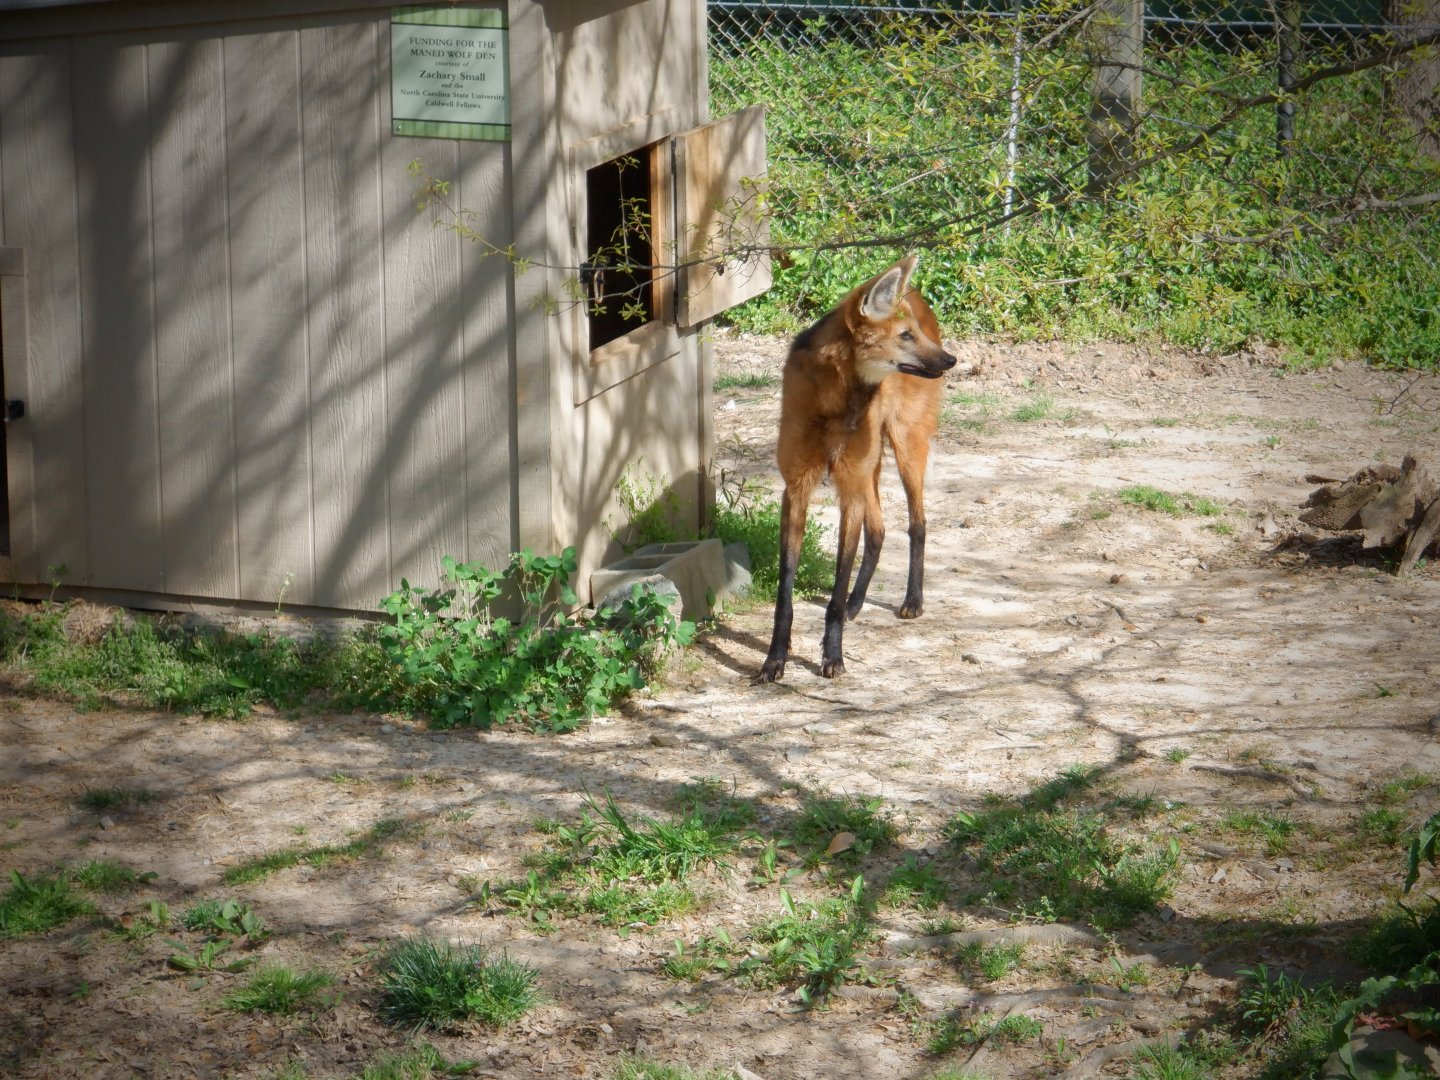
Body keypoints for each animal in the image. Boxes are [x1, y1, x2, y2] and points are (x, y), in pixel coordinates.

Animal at [758, 254, 956, 682]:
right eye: (905, 336)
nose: (951, 359)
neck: (836, 400)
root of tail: (916, 293)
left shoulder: (849, 483)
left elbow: (835, 586)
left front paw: (833, 655)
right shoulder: (797, 486)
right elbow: (785, 590)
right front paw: (775, 658)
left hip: (904, 445)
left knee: (917, 522)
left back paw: (912, 600)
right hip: (871, 464)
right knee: (878, 529)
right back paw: (856, 602)